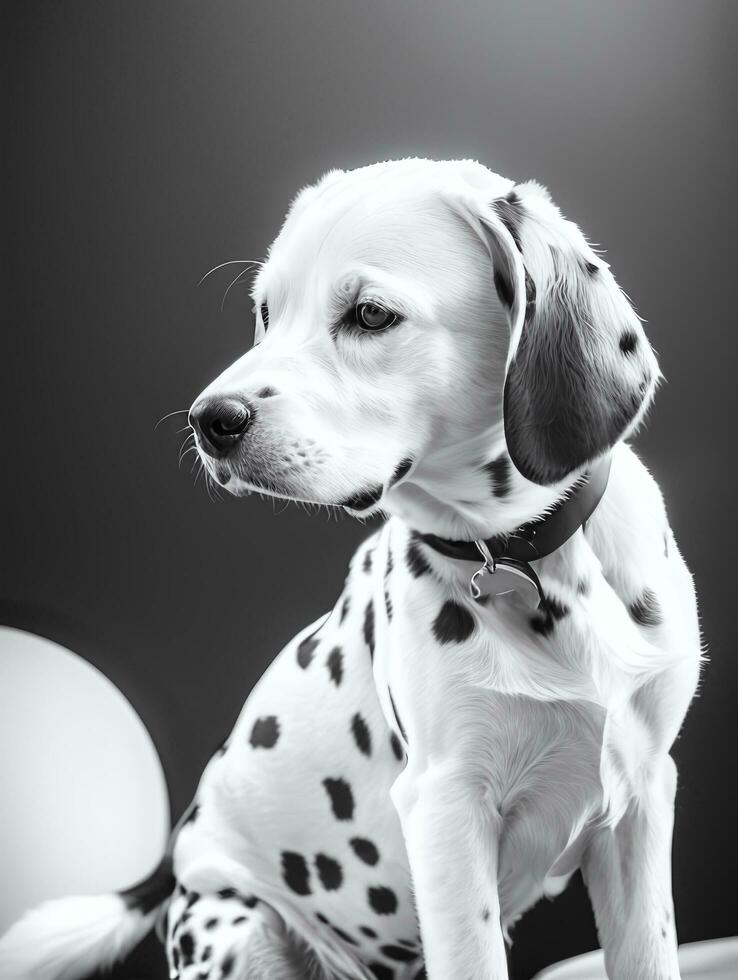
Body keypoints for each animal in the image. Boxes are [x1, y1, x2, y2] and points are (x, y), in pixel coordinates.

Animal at [0, 155, 700, 980]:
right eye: (266, 313)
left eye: (369, 315)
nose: (210, 420)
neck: (523, 556)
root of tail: (179, 862)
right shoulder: (445, 808)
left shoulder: (641, 801)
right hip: (241, 931)